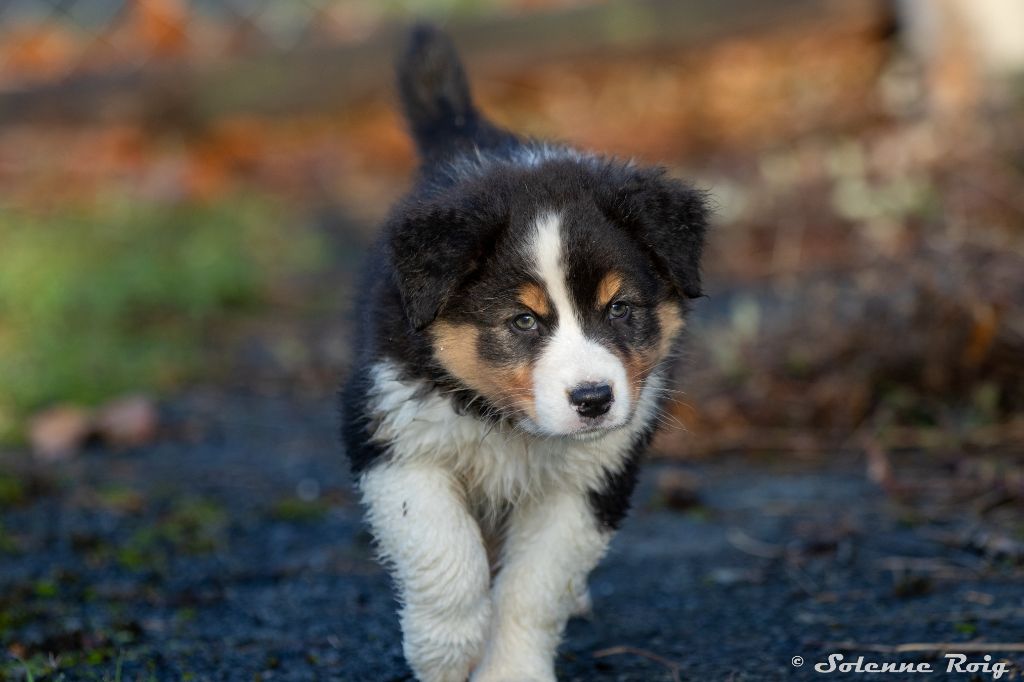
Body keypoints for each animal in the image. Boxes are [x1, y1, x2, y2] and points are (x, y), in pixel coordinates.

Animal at [341, 25, 709, 682]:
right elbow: (443, 550)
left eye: (620, 308)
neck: (514, 427)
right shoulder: (392, 433)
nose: (593, 400)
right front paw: (444, 649)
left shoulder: (591, 479)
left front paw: (510, 668)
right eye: (523, 320)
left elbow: (533, 587)